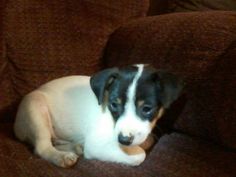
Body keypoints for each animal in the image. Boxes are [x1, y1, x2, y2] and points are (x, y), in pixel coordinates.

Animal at [13, 63, 183, 167]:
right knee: (42, 146)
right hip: (35, 106)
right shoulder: (96, 144)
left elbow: (147, 141)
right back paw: (61, 156)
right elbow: (139, 155)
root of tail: (16, 126)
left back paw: (76, 147)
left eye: (147, 108)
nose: (123, 140)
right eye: (114, 104)